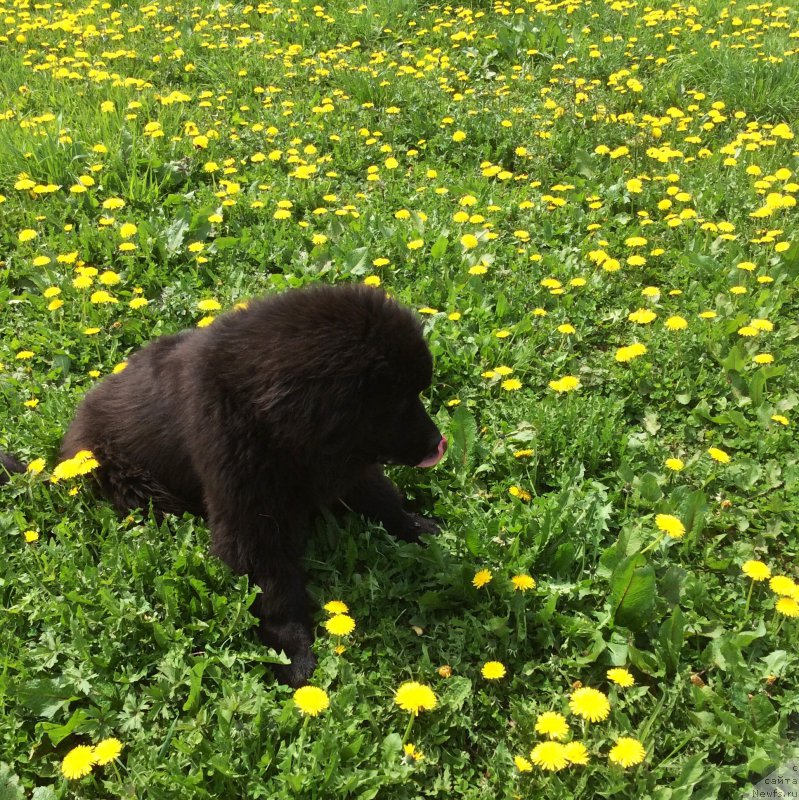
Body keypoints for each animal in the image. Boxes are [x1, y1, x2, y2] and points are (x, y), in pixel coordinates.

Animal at [3, 284, 446, 684]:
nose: (439, 444)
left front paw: (420, 527)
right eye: (397, 402)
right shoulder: (249, 513)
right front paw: (293, 655)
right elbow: (273, 585)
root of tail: (61, 459)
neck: (265, 416)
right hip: (131, 482)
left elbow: (379, 497)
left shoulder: (345, 464)